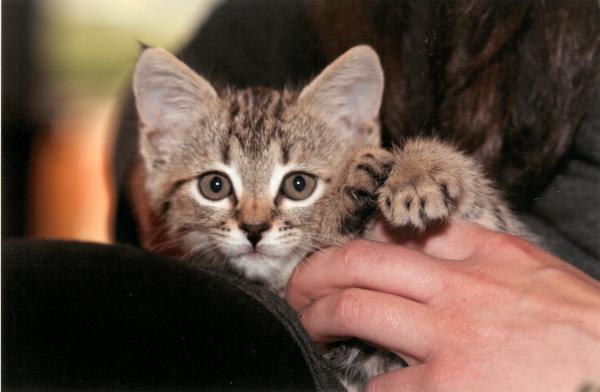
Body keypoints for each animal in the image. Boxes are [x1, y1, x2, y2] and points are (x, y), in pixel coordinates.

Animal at [132, 45, 528, 388]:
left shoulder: (496, 220)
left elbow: (482, 201)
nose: (254, 228)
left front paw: (418, 171)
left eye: (298, 184)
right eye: (214, 185)